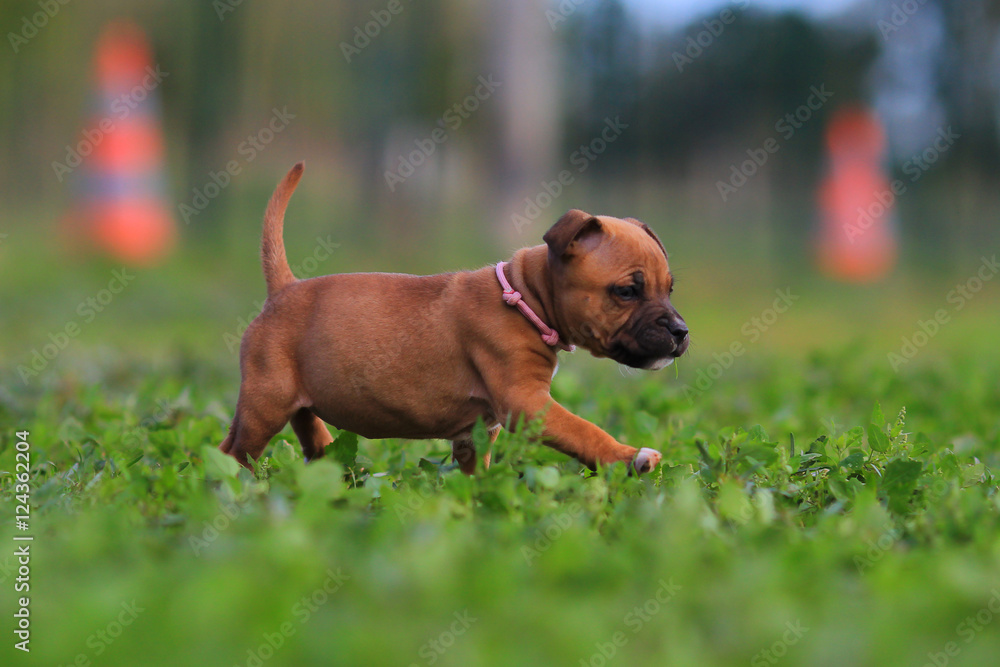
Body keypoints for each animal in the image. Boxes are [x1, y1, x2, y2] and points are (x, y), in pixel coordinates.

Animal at [219, 162, 688, 474]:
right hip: (265, 402)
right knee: (231, 452)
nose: (681, 332)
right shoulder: (526, 403)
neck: (526, 299)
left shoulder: (478, 431)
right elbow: (584, 430)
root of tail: (284, 288)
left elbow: (476, 471)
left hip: (301, 407)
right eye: (626, 291)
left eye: (669, 289)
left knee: (314, 443)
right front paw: (629, 457)